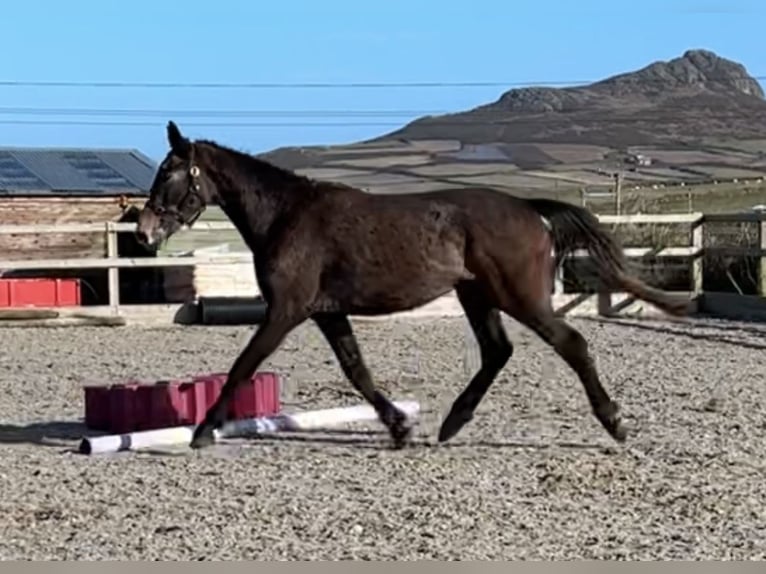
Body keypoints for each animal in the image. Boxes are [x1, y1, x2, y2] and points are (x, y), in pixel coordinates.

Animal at [138, 124, 696, 452]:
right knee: (497, 351)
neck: (286, 215)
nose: (144, 231)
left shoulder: (286, 310)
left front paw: (203, 431)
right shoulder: (325, 311)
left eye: (169, 173)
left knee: (571, 344)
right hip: (478, 295)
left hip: (520, 297)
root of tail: (529, 207)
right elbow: (357, 370)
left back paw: (614, 422)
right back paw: (452, 424)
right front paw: (399, 427)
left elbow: (242, 367)